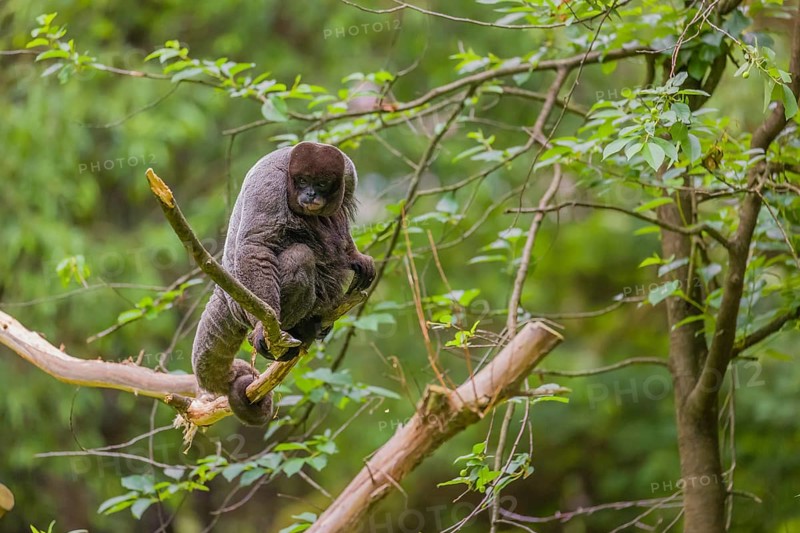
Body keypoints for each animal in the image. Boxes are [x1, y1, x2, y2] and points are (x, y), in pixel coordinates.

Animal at [191, 142, 375, 426]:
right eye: (302, 180)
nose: (310, 194)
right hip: (245, 304)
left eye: (321, 183)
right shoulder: (269, 185)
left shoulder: (349, 175)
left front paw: (356, 257)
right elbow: (256, 246)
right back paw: (292, 330)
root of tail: (224, 293)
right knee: (301, 256)